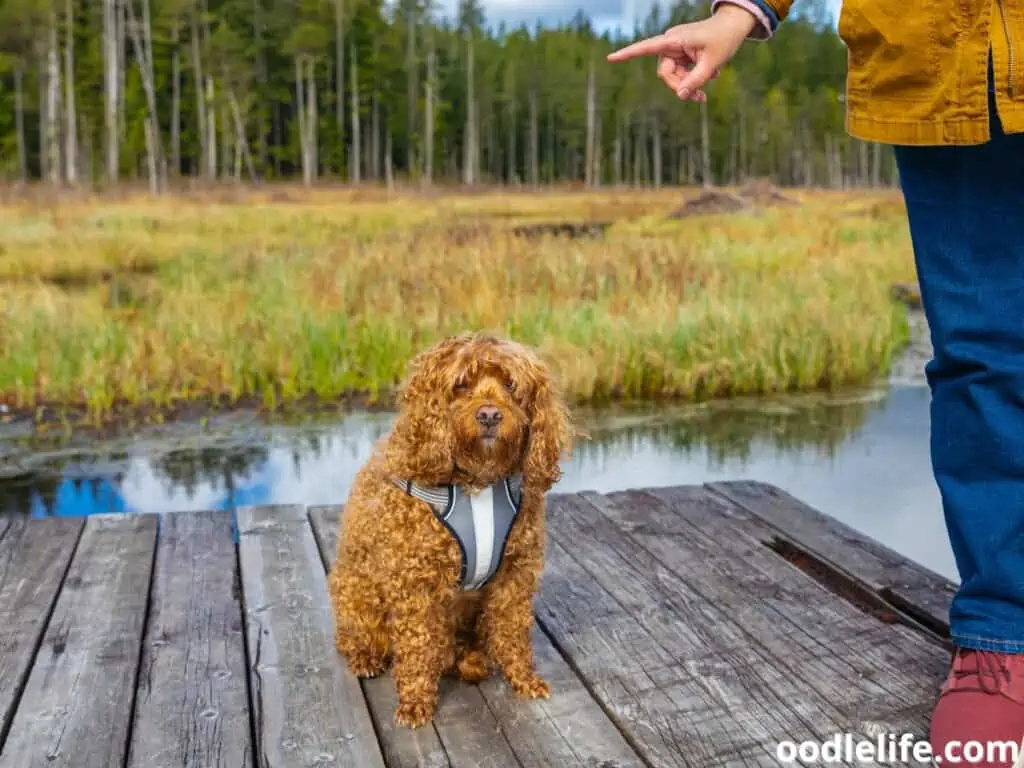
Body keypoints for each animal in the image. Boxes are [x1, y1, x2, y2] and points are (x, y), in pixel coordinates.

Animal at [325, 331, 573, 729]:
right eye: (461, 385)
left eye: (510, 385)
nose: (489, 415)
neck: (478, 484)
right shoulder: (415, 582)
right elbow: (416, 646)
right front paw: (415, 703)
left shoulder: (516, 573)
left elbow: (513, 631)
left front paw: (524, 678)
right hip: (355, 595)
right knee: (356, 640)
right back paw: (366, 657)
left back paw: (470, 661)